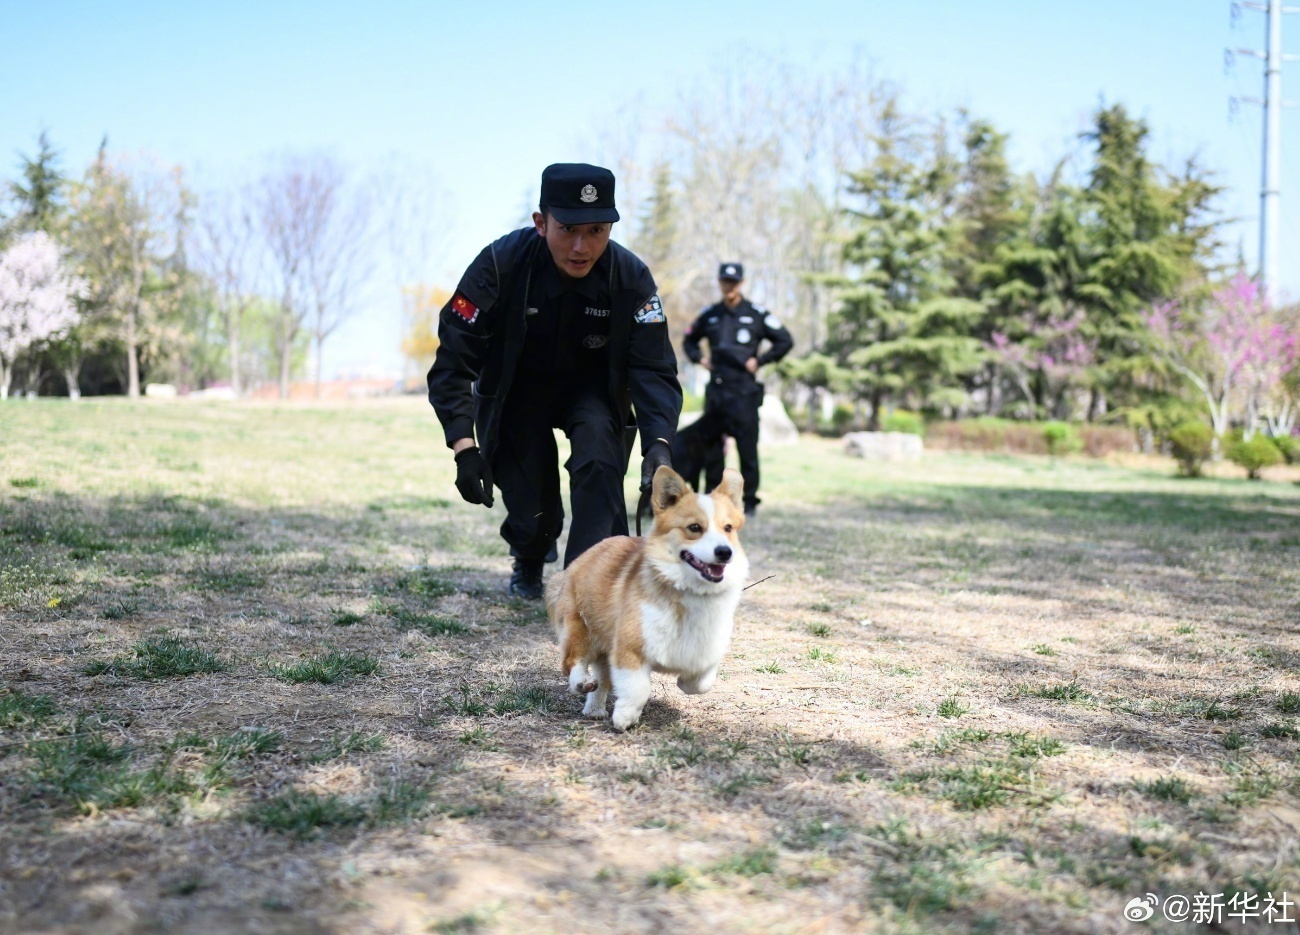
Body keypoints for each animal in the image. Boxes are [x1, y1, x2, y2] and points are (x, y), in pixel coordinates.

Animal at [546, 465, 754, 733]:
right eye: (694, 528)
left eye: (728, 528)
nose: (724, 552)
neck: (689, 592)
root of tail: (585, 555)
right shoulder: (630, 649)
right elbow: (638, 688)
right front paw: (625, 717)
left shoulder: (705, 649)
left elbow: (701, 682)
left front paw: (684, 682)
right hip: (580, 627)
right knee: (572, 661)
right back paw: (581, 682)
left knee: (602, 677)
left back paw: (594, 709)